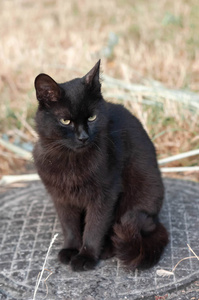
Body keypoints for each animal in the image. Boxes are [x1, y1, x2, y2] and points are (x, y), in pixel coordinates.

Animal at [33, 60, 169, 272]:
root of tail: (156, 221)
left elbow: (95, 227)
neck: (70, 160)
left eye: (92, 118)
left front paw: (86, 256)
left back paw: (106, 250)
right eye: (65, 120)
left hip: (142, 197)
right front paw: (71, 249)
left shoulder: (104, 195)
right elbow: (69, 225)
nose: (83, 137)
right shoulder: (61, 197)